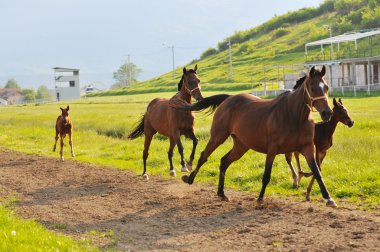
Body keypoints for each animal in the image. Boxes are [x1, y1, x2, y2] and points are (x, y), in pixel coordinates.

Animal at [175, 66, 338, 208]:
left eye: (326, 87)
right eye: (312, 87)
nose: (327, 113)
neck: (294, 116)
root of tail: (229, 98)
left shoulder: (308, 148)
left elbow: (317, 172)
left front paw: (329, 198)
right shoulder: (272, 150)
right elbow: (266, 175)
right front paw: (260, 199)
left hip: (241, 145)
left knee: (224, 161)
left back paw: (221, 193)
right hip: (218, 136)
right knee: (204, 156)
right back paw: (189, 178)